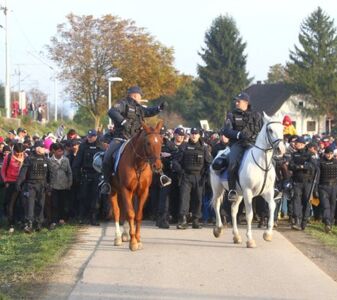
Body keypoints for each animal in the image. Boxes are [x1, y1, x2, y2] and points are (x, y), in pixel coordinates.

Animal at [110, 120, 163, 251]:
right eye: (148, 143)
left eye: (161, 141)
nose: (157, 166)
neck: (138, 164)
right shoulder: (126, 190)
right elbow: (130, 214)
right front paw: (133, 242)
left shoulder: (143, 191)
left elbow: (138, 215)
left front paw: (138, 240)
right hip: (113, 190)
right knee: (117, 212)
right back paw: (118, 238)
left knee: (123, 211)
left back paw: (125, 235)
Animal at [211, 111, 284, 247]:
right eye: (270, 130)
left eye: (282, 128)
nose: (281, 149)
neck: (262, 164)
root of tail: (219, 153)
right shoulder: (248, 192)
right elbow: (249, 214)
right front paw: (250, 239)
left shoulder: (267, 192)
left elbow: (272, 207)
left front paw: (267, 234)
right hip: (218, 189)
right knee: (217, 205)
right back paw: (218, 229)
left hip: (238, 194)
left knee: (233, 210)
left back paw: (236, 236)